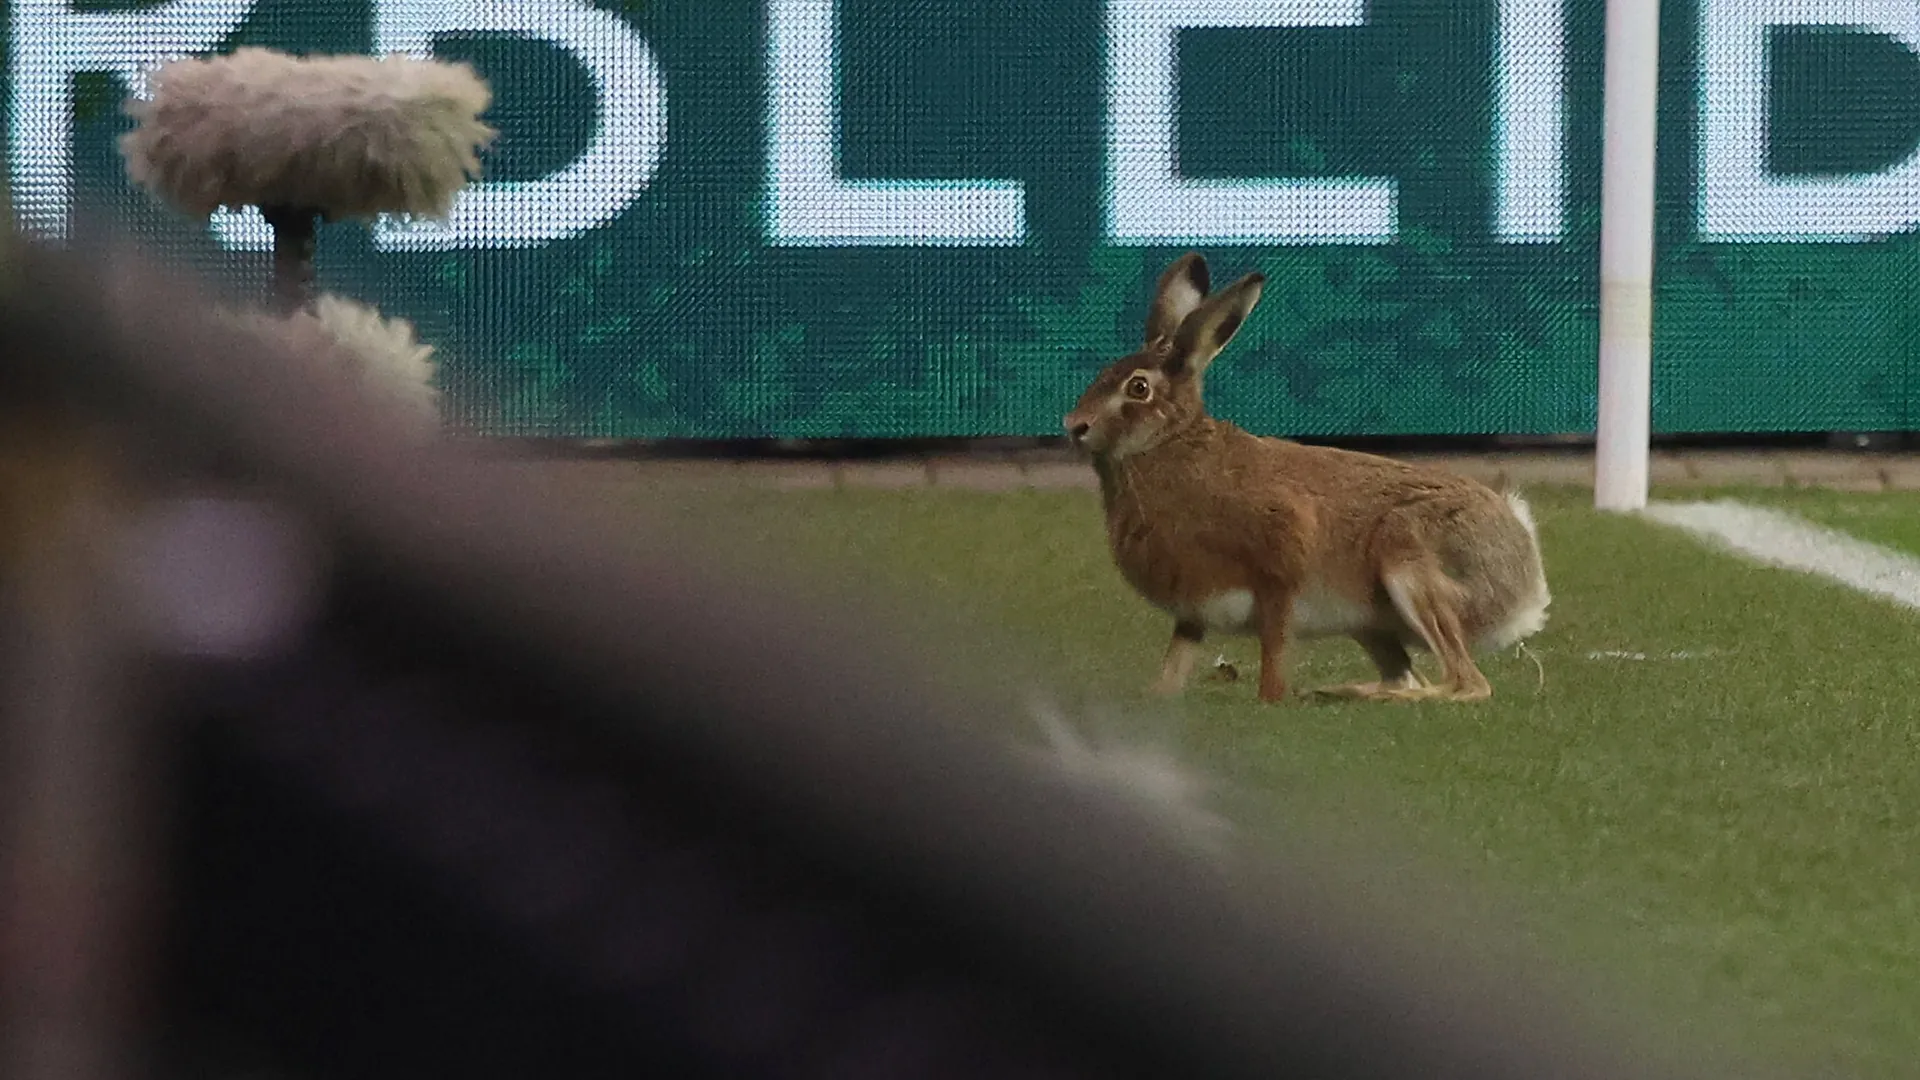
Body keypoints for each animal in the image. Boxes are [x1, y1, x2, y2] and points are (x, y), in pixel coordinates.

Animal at [1063, 253, 1551, 704]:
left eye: (1138, 388)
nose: (1074, 425)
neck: (1168, 444)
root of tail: (1525, 576)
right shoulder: (1193, 609)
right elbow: (1177, 658)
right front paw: (1159, 693)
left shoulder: (1279, 569)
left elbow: (1275, 648)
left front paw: (1270, 699)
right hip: (1369, 624)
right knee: (1410, 673)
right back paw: (1345, 690)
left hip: (1410, 564)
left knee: (1465, 683)